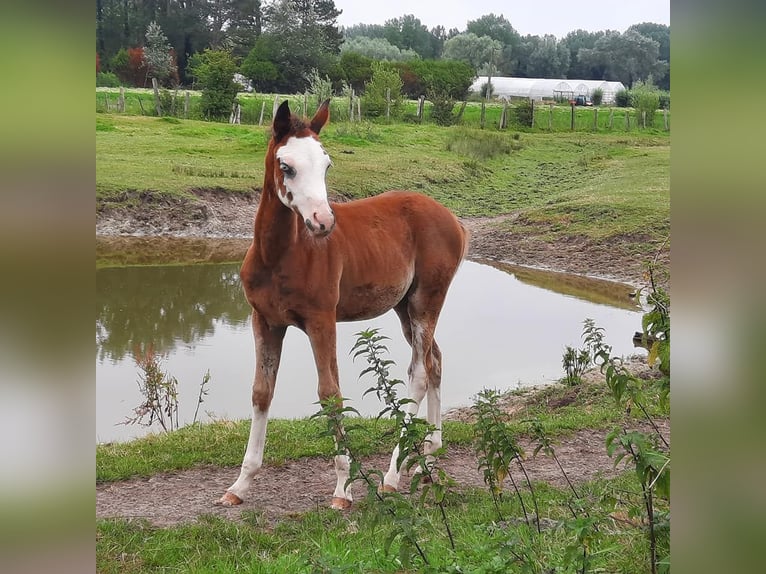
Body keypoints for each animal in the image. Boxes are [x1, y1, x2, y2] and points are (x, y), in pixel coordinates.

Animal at [216, 101, 468, 510]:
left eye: (326, 165)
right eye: (286, 166)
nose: (323, 221)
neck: (280, 255)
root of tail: (455, 220)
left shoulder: (322, 321)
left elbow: (330, 394)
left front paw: (343, 490)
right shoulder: (265, 320)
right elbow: (261, 391)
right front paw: (240, 484)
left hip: (427, 300)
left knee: (418, 372)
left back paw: (393, 476)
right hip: (403, 307)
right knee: (435, 361)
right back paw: (428, 460)